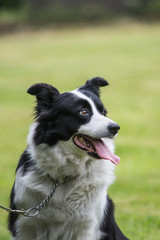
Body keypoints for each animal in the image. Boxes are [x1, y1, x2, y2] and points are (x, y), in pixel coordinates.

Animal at [8, 78, 129, 239]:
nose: (115, 128)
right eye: (83, 112)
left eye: (103, 112)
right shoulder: (23, 225)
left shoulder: (86, 227)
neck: (62, 178)